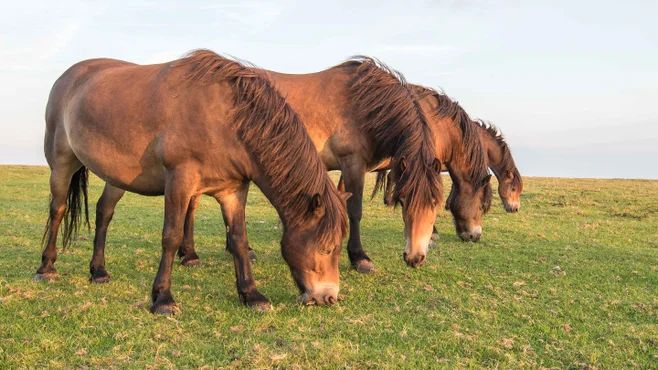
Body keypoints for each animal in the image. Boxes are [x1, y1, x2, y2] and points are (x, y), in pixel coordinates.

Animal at [34, 50, 348, 314]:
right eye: (327, 248)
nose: (329, 296)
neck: (225, 118)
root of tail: (68, 77)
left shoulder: (233, 190)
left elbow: (239, 238)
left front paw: (252, 294)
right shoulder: (179, 181)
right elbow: (171, 236)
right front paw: (162, 298)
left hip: (116, 177)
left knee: (104, 213)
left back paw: (98, 271)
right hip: (62, 164)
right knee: (58, 209)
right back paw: (46, 268)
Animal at [82, 54, 444, 278]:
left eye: (436, 207)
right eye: (404, 201)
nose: (416, 258)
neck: (363, 103)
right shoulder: (352, 163)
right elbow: (354, 211)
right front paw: (360, 258)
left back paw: (193, 253)